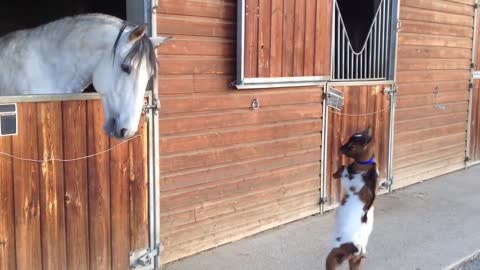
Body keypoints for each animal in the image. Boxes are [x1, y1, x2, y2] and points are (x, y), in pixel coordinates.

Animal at [326, 127, 378, 270]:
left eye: (352, 146)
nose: (340, 148)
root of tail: (358, 249)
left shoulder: (352, 184)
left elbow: (344, 169)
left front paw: (335, 174)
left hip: (334, 255)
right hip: (356, 261)